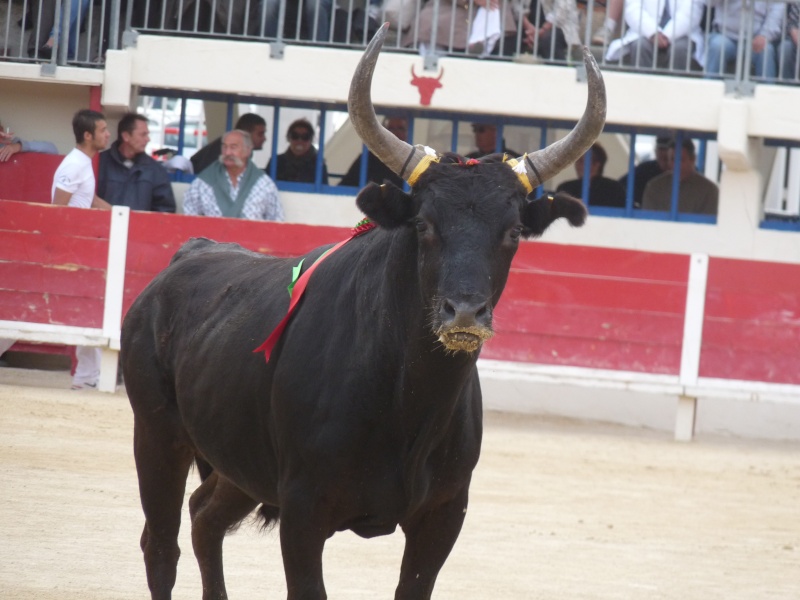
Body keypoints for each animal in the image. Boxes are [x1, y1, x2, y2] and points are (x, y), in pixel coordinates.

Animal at [122, 24, 604, 600]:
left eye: (512, 233)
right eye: (423, 224)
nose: (464, 312)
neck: (407, 399)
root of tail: (190, 252)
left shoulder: (443, 515)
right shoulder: (303, 510)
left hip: (238, 464)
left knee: (203, 518)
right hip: (157, 435)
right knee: (160, 544)